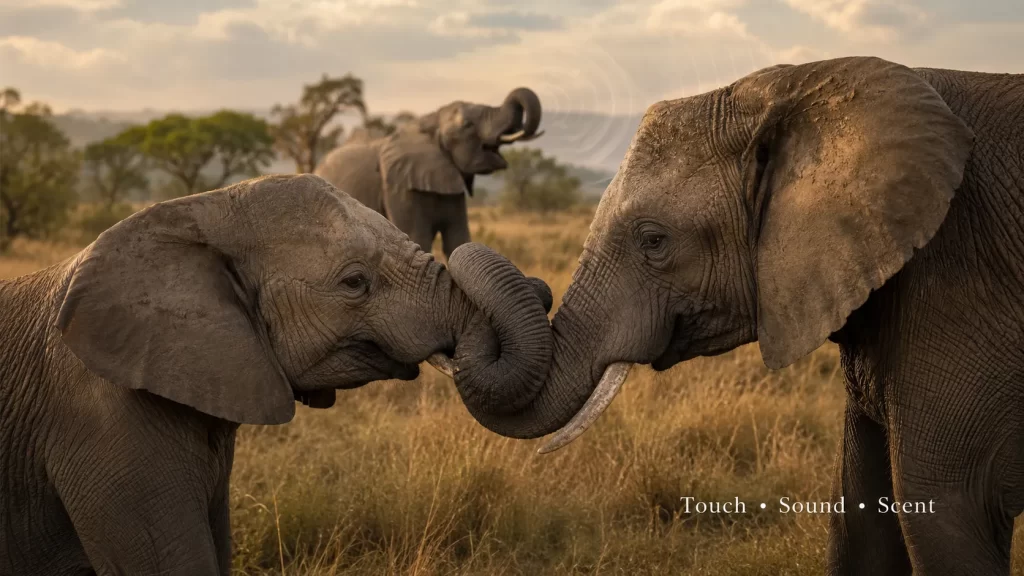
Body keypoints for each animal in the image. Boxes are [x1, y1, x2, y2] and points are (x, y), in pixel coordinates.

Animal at [435, 57, 1024, 575]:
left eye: (654, 241)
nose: (537, 287)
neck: (807, 87)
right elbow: (860, 521)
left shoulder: (957, 287)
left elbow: (943, 512)